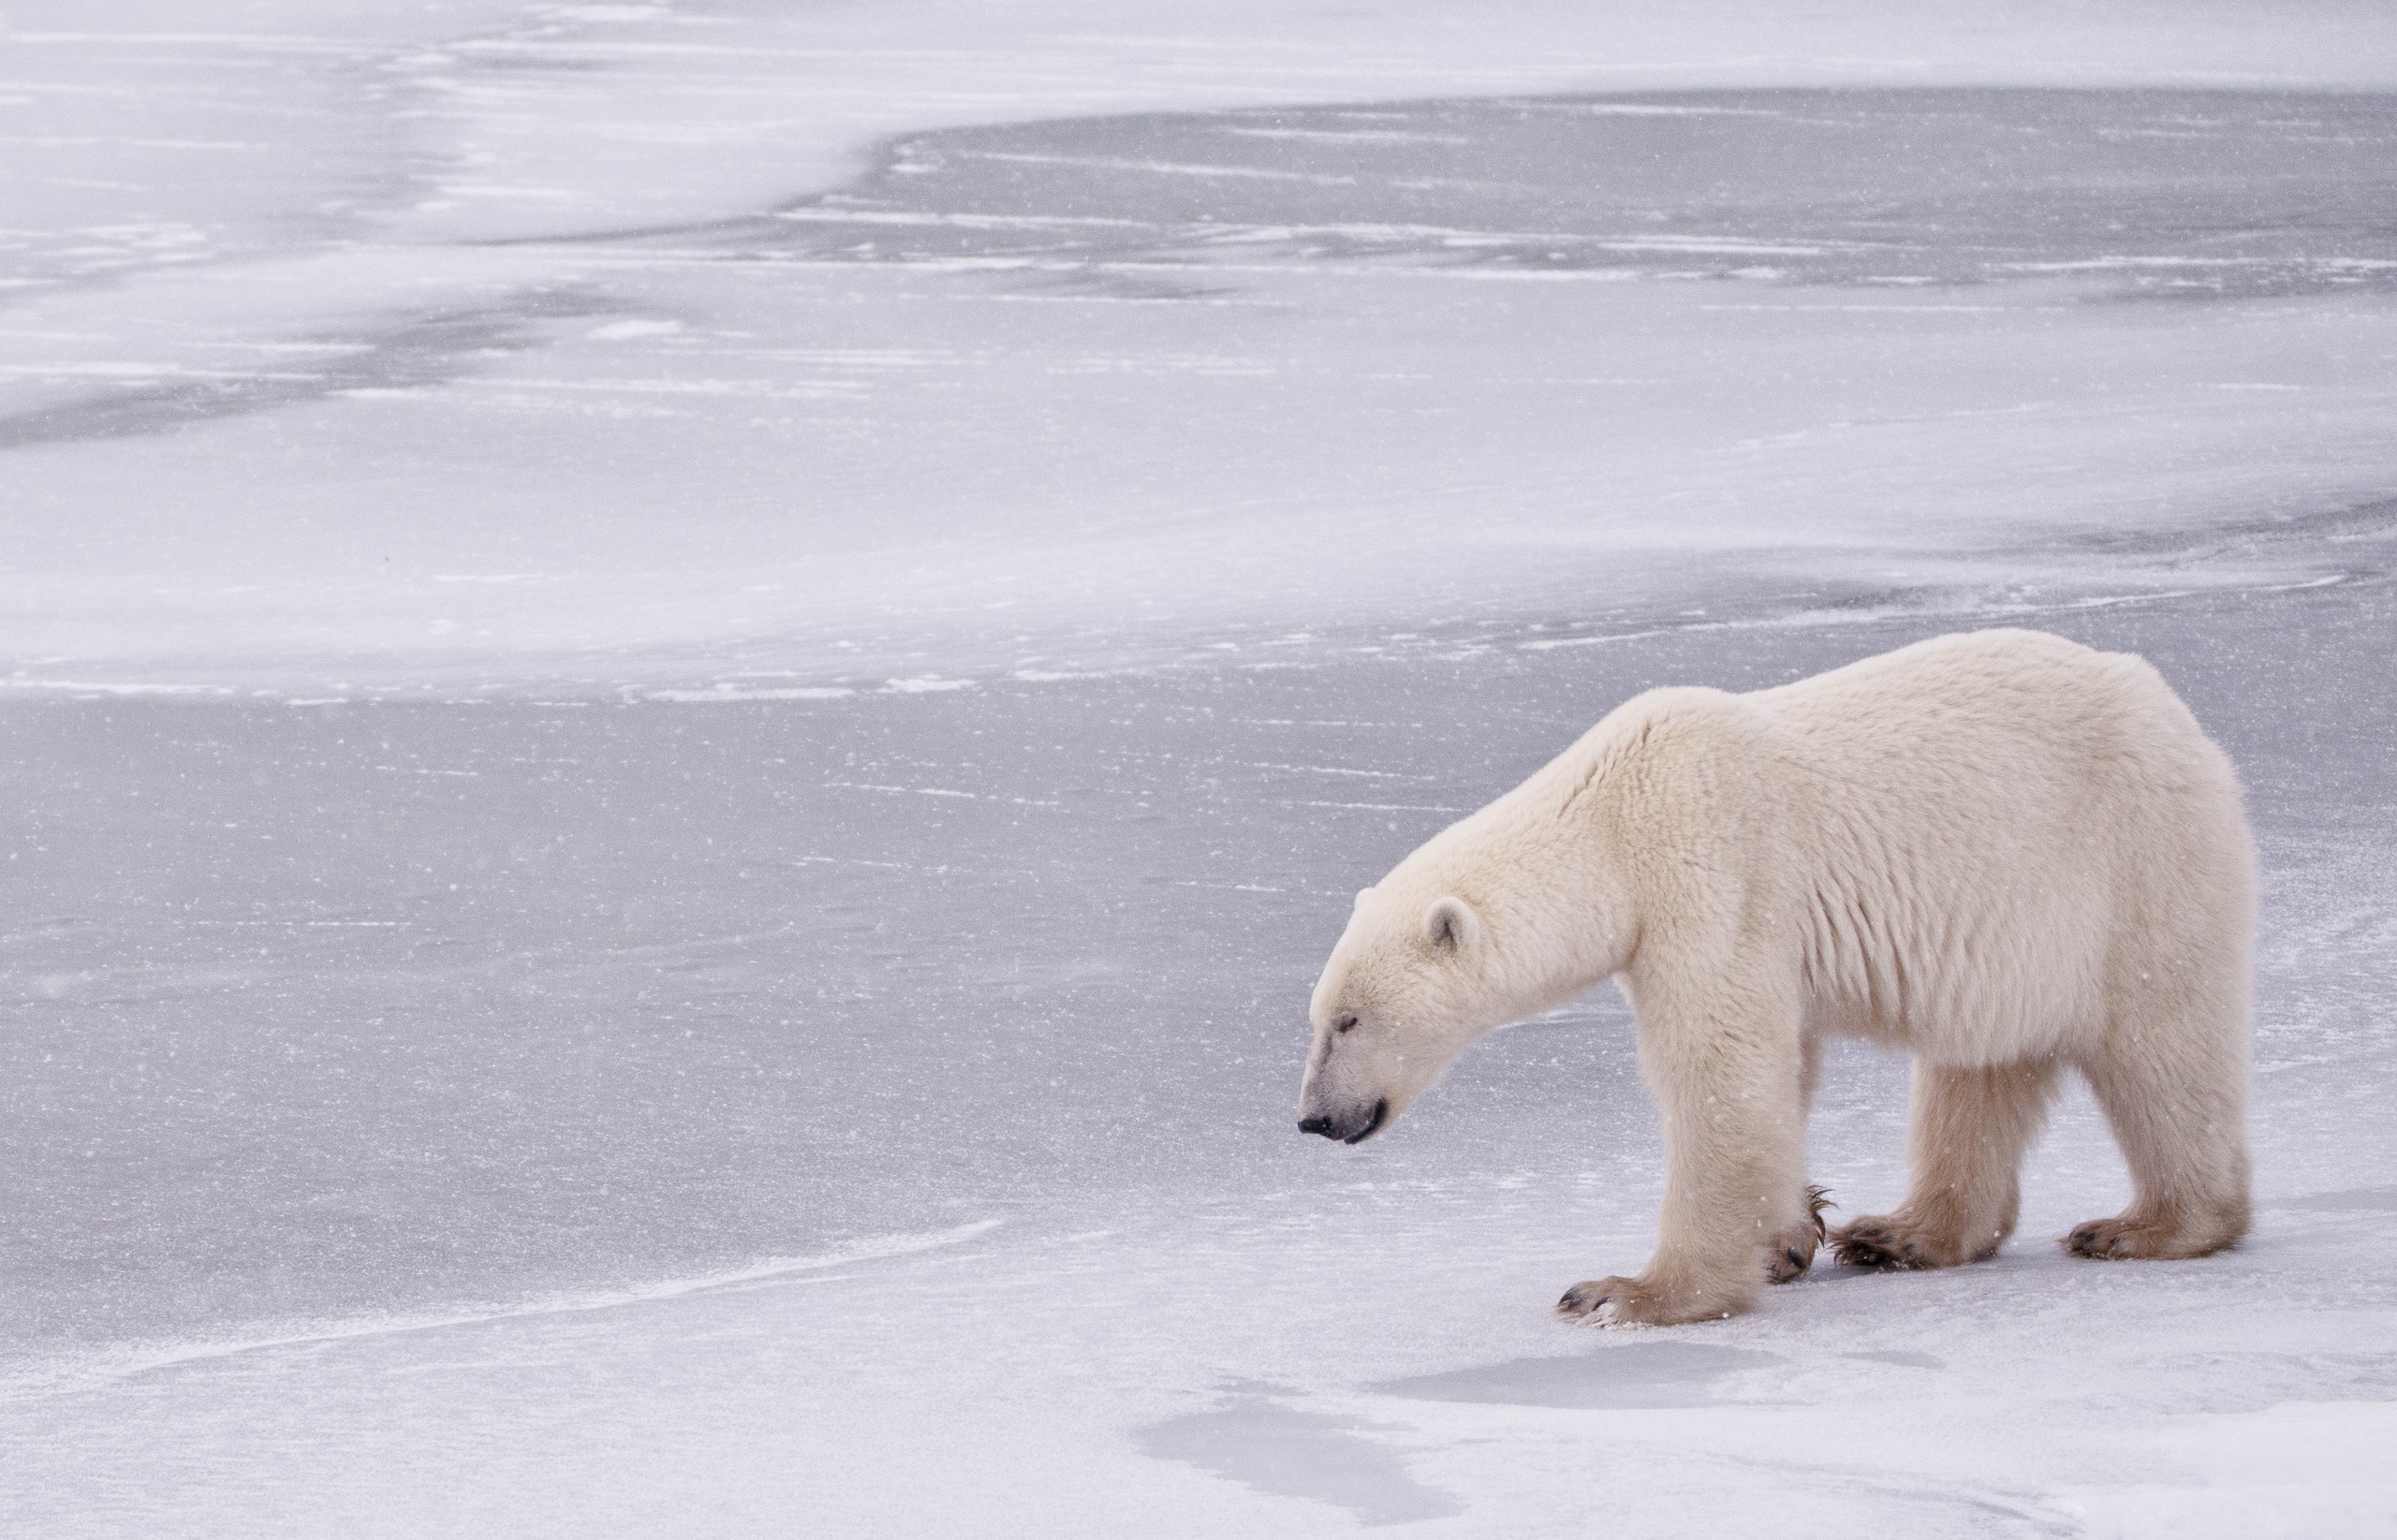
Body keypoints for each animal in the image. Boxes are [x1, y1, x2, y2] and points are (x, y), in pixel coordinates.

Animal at [1294, 627, 2243, 1322]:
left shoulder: (1710, 873)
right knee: (1977, 1068)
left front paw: (1626, 1292)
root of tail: (2181, 719)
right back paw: (1900, 1233)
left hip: (2132, 866)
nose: (1312, 1118)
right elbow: (1782, 1066)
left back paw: (2150, 1226)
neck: (1612, 820)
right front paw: (1792, 1234)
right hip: (2013, 933)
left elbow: (1720, 1071)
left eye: (1350, 1018)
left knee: (2162, 1049)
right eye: (1319, 1015)